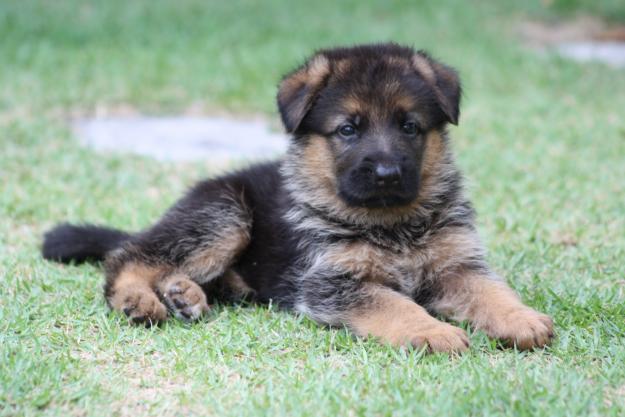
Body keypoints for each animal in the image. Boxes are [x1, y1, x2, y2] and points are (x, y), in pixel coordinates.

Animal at [42, 44, 552, 352]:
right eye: (348, 130)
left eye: (409, 126)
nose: (387, 173)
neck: (392, 225)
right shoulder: (333, 284)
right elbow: (395, 305)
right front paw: (432, 331)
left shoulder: (457, 266)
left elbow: (491, 290)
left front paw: (520, 318)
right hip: (226, 215)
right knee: (128, 255)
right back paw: (142, 300)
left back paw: (185, 293)